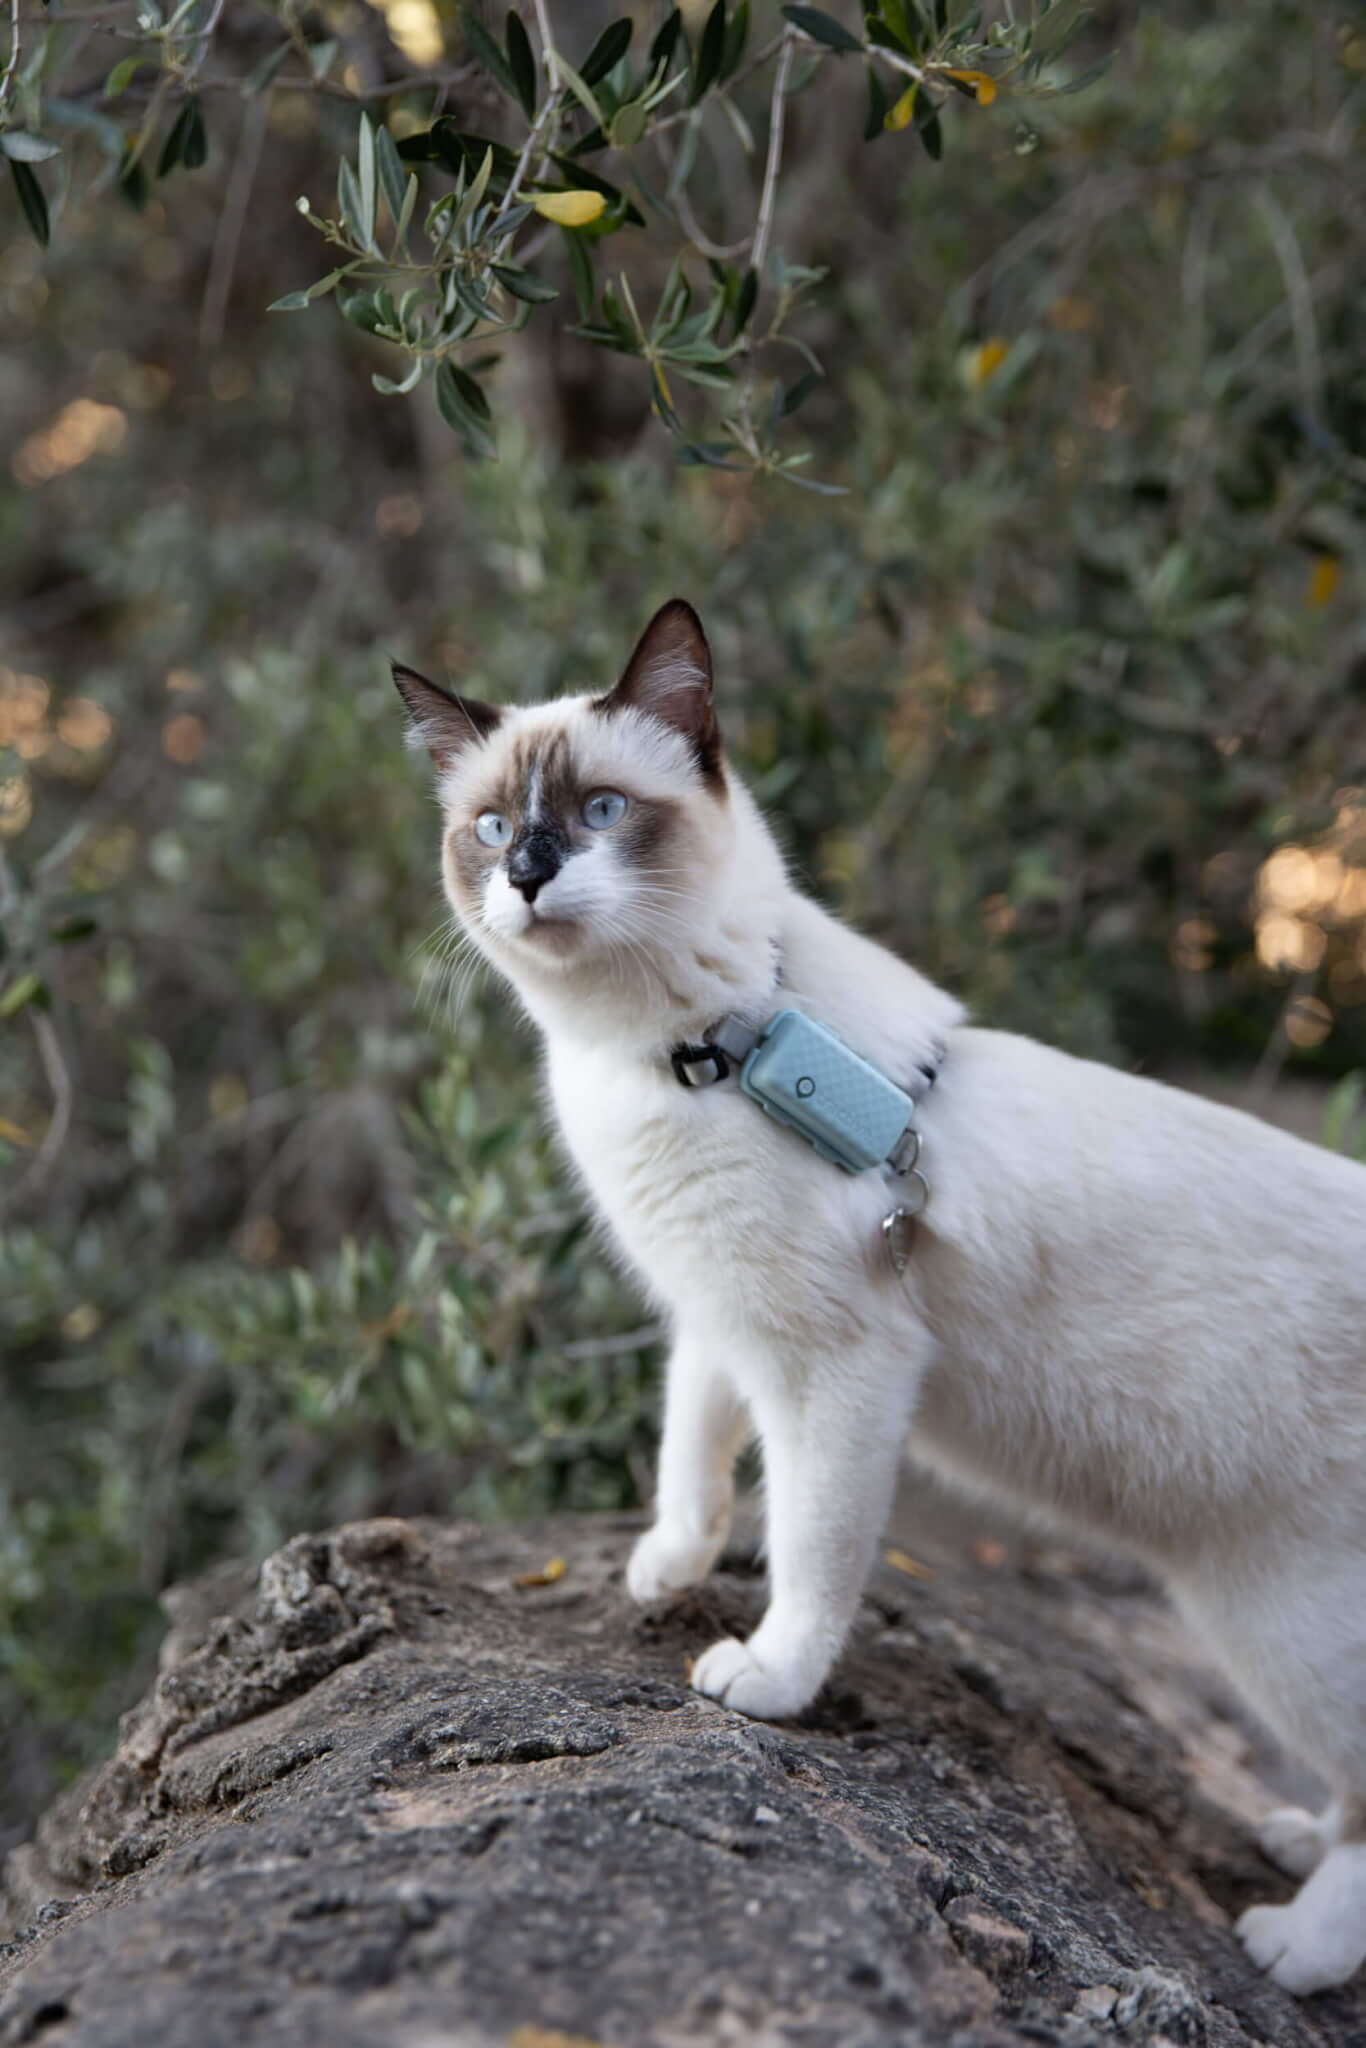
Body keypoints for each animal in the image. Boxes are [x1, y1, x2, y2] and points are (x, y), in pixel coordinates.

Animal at [389, 598, 1366, 1998]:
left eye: (598, 813)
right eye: (486, 826)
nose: (525, 873)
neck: (692, 1046)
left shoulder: (834, 1369)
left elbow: (809, 1544)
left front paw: (768, 1676)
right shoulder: (717, 1312)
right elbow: (690, 1454)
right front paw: (664, 1568)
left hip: (1277, 1614)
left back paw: (1297, 1942)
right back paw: (1287, 1838)